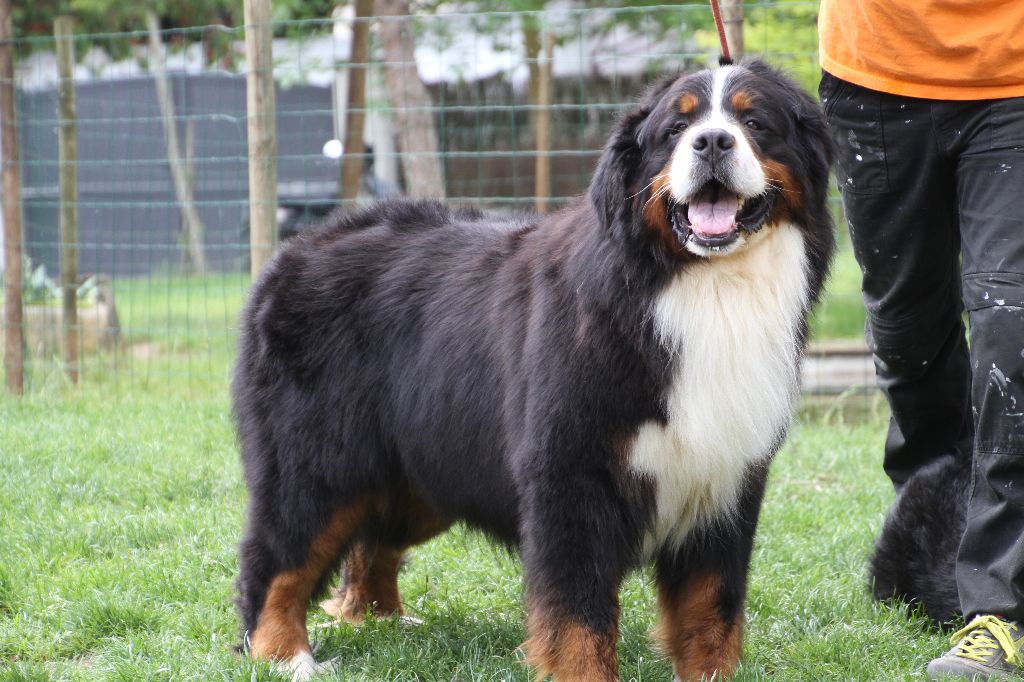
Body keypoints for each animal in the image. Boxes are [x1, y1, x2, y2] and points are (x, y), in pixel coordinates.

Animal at [235, 59, 835, 679]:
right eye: (676, 128)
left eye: (755, 122)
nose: (712, 141)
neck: (701, 289)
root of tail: (302, 246)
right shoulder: (570, 474)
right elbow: (578, 614)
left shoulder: (725, 479)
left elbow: (713, 606)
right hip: (318, 462)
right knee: (276, 556)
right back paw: (284, 654)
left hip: (424, 466)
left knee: (371, 542)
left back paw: (383, 619)